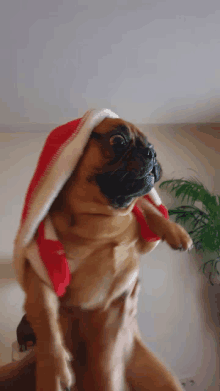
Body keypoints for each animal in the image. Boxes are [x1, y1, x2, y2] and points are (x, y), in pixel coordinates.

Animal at [15, 113, 191, 391]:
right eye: (117, 140)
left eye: (149, 143)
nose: (152, 152)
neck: (101, 219)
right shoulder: (40, 275)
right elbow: (47, 321)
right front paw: (56, 368)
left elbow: (146, 207)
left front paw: (176, 232)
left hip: (156, 375)